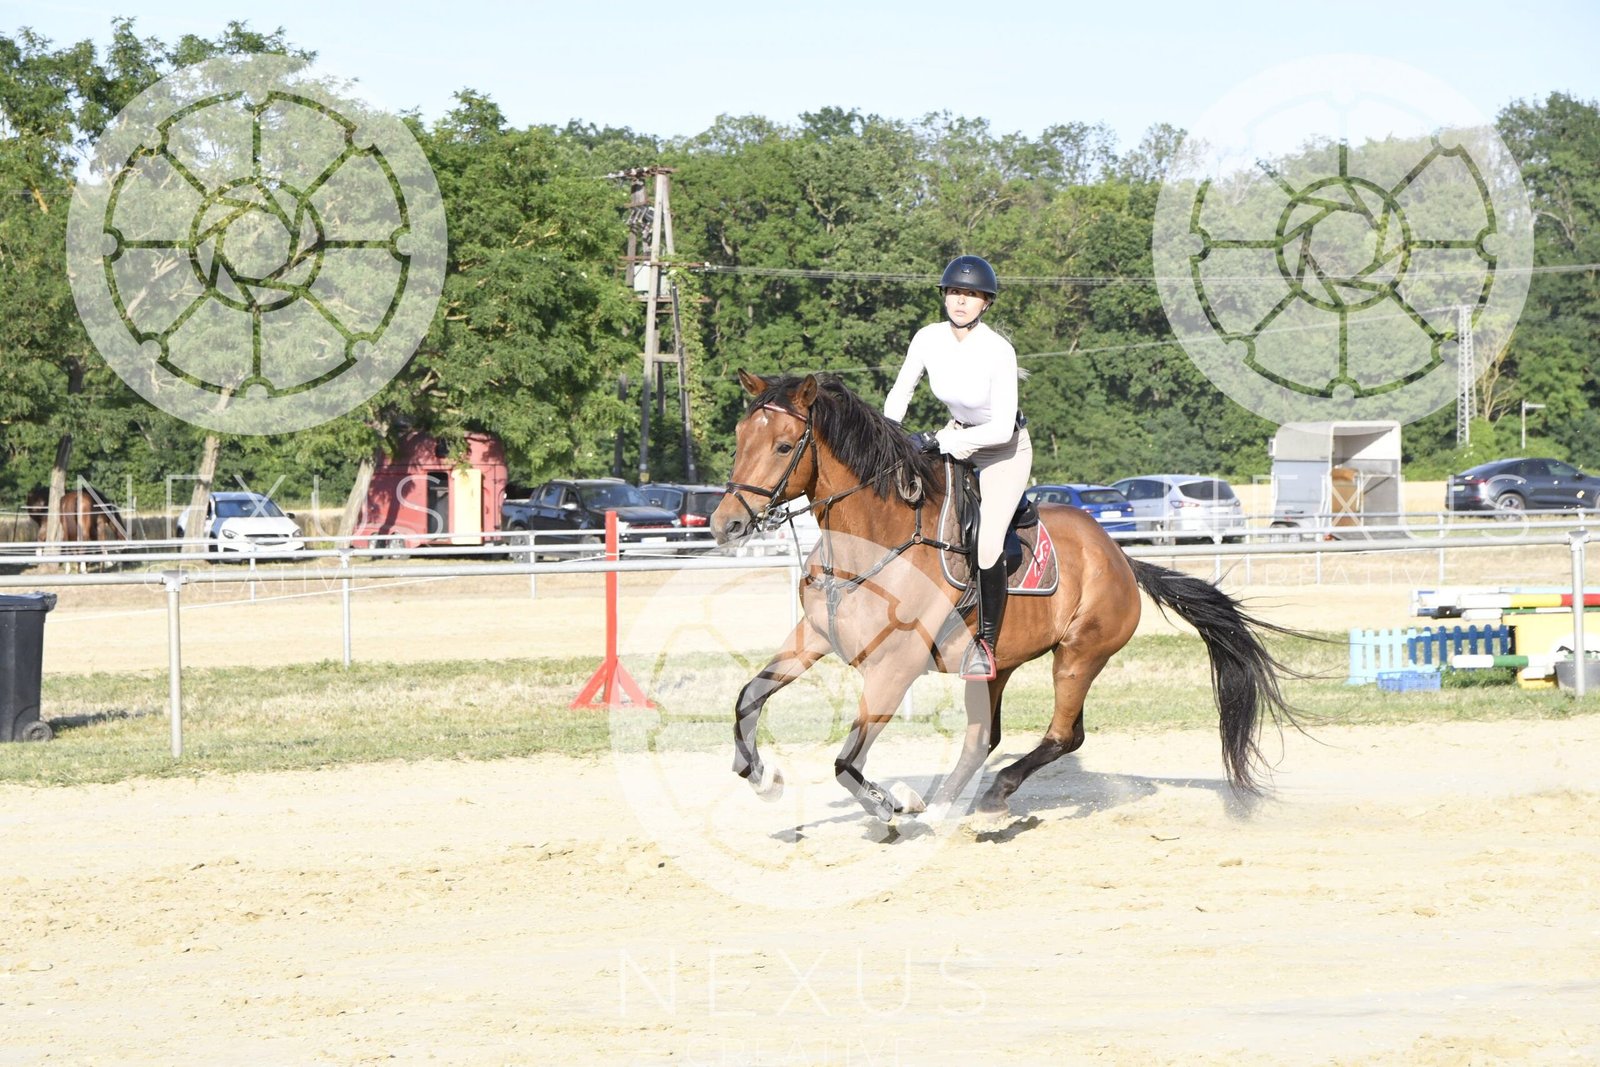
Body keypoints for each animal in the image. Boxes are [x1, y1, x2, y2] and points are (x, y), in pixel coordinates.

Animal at [710, 370, 1305, 823]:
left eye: (785, 446)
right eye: (740, 440)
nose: (725, 524)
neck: (871, 543)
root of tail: (1118, 556)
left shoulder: (895, 664)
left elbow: (847, 760)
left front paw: (889, 806)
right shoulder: (813, 637)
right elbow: (748, 698)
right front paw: (763, 777)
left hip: (1078, 655)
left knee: (1064, 736)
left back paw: (989, 797)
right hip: (998, 665)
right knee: (984, 739)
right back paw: (946, 806)